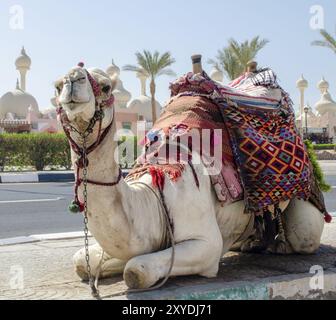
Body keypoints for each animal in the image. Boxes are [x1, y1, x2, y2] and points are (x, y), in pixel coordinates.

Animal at [55, 57, 326, 290]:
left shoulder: (206, 243)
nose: (71, 79)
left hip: (305, 203)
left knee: (304, 236)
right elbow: (82, 262)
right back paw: (252, 243)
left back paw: (279, 245)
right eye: (56, 86)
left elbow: (136, 270)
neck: (154, 194)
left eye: (105, 86)